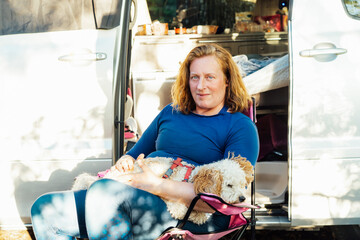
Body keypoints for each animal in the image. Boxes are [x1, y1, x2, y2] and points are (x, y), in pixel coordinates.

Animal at [72, 154, 253, 225]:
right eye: (229, 185)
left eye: (242, 184)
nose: (242, 198)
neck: (190, 178)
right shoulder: (176, 206)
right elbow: (186, 213)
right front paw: (196, 214)